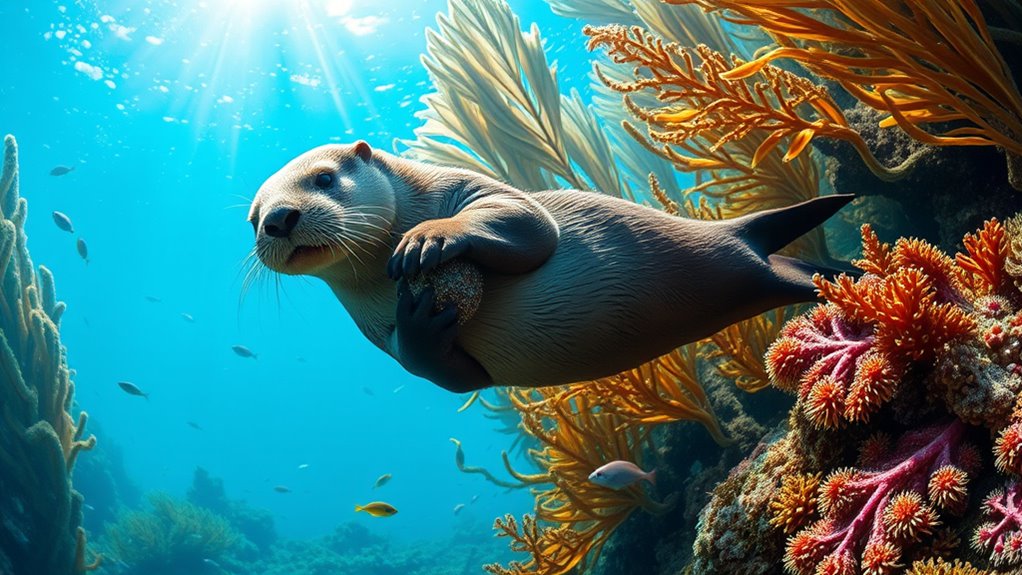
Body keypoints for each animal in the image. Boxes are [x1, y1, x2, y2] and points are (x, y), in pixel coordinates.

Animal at [248, 141, 853, 393]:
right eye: (251, 219)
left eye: (325, 178)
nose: (277, 219)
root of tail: (736, 234)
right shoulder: (377, 334)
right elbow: (444, 374)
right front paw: (420, 321)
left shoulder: (473, 188)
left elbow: (530, 225)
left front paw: (428, 240)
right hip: (753, 266)